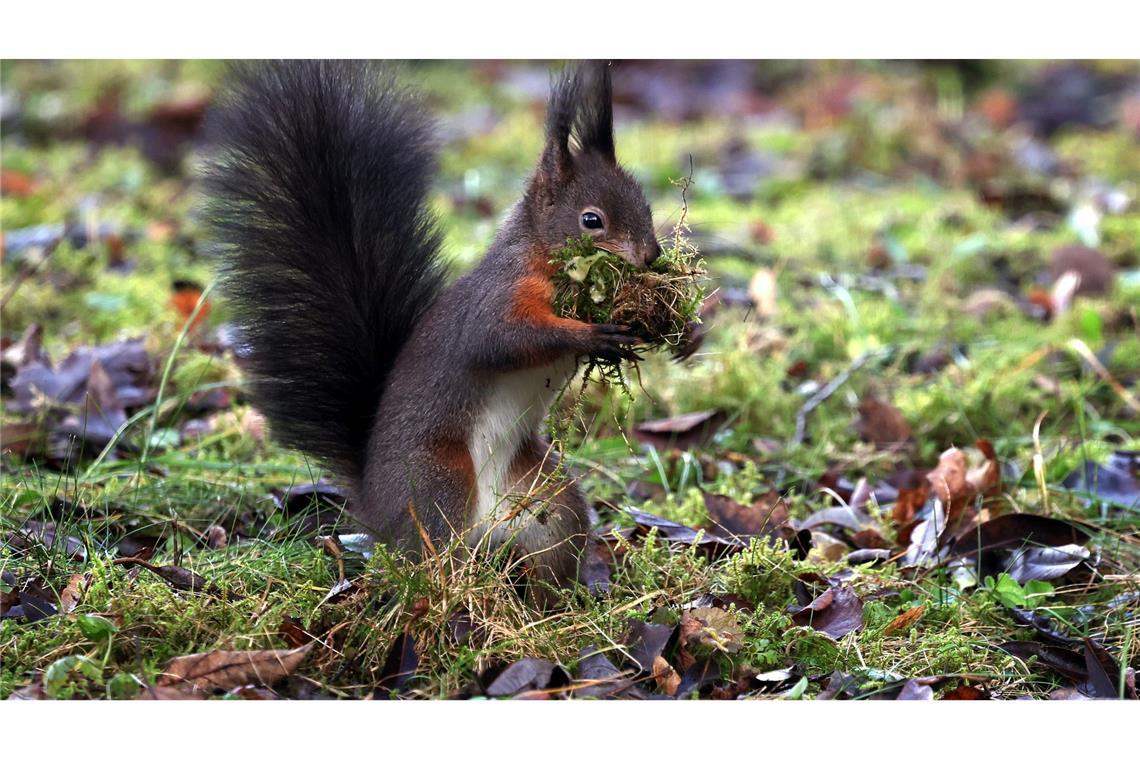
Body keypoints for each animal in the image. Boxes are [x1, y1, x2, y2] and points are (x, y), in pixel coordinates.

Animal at [205, 59, 665, 601]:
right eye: (592, 220)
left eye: (645, 204)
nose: (651, 256)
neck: (539, 257)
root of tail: (375, 507)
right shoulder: (497, 300)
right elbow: (503, 341)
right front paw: (592, 333)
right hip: (437, 481)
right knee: (434, 554)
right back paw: (452, 593)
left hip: (545, 498)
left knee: (551, 545)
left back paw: (558, 601)